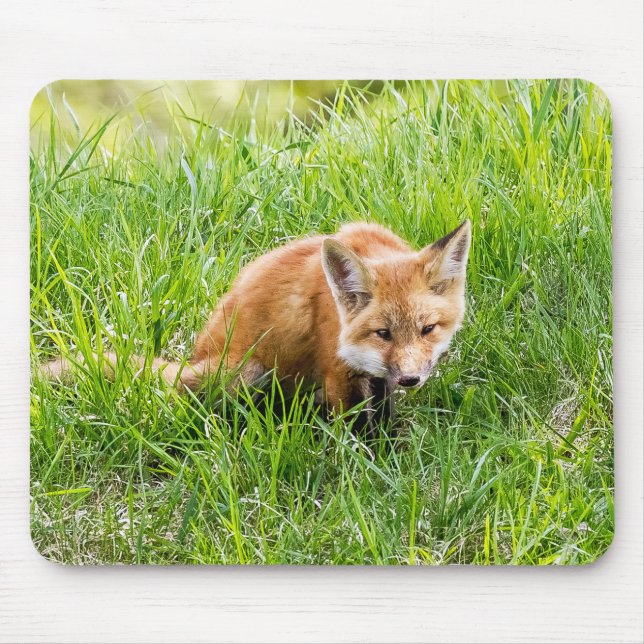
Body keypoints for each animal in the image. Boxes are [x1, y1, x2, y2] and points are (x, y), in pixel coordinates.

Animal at [41, 220, 471, 429]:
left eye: (428, 329)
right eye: (383, 333)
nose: (411, 380)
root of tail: (195, 356)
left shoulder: (379, 377)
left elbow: (384, 416)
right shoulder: (339, 373)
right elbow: (357, 432)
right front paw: (368, 470)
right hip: (246, 371)